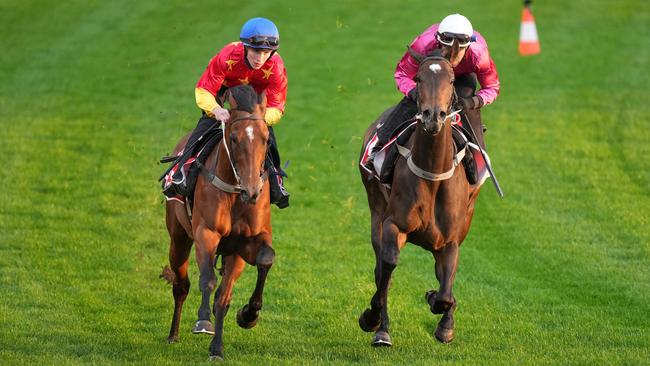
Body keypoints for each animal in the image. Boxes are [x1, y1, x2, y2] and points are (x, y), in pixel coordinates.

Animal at [165, 83, 274, 360]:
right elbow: (207, 281)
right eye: (234, 138)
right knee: (181, 285)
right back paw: (173, 334)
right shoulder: (206, 233)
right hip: (178, 238)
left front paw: (247, 317)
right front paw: (203, 321)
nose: (252, 190)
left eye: (266, 139)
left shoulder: (244, 245)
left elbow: (227, 295)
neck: (236, 192)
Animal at [356, 50, 478, 346]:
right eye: (419, 79)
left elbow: (445, 292)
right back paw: (381, 329)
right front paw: (372, 318)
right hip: (376, 210)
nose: (433, 116)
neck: (432, 175)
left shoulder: (450, 241)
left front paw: (442, 316)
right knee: (383, 271)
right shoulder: (393, 225)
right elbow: (387, 268)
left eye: (451, 80)